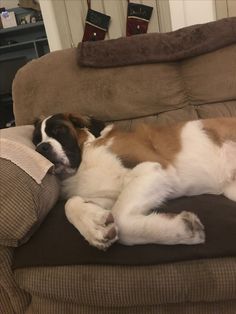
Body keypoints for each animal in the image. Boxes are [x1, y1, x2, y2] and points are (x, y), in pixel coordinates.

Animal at [32, 113, 236, 250]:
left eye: (59, 131)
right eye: (35, 140)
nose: (41, 148)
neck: (84, 158)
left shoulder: (151, 169)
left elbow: (121, 218)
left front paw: (184, 229)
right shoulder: (108, 194)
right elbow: (71, 203)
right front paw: (94, 226)